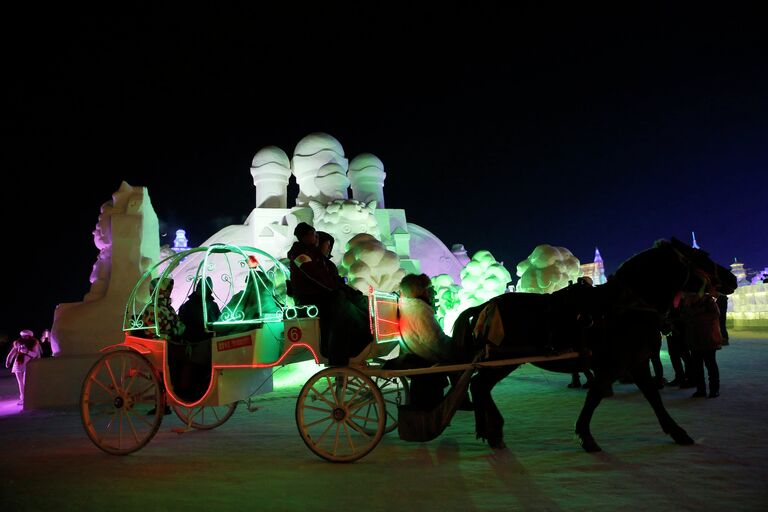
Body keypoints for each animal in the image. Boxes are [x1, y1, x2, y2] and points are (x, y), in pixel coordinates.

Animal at [456, 239, 736, 452]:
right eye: (701, 256)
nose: (732, 278)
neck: (626, 307)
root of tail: (486, 305)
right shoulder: (615, 363)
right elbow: (596, 395)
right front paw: (585, 436)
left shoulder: (636, 362)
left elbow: (652, 396)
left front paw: (677, 432)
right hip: (502, 361)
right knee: (479, 385)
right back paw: (493, 430)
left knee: (478, 386)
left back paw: (489, 430)